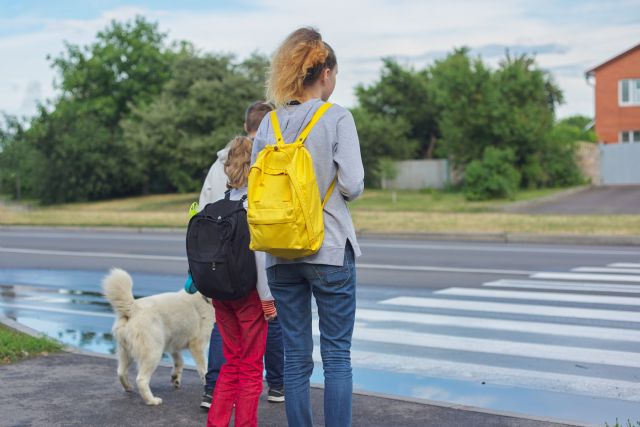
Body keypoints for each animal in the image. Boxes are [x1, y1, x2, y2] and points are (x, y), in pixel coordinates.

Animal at [102, 270, 215, 406]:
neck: (205, 298)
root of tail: (133, 308)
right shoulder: (197, 345)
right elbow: (204, 369)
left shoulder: (173, 343)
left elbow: (179, 361)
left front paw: (175, 378)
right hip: (153, 353)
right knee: (141, 380)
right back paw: (152, 400)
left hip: (126, 353)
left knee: (120, 372)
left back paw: (128, 388)